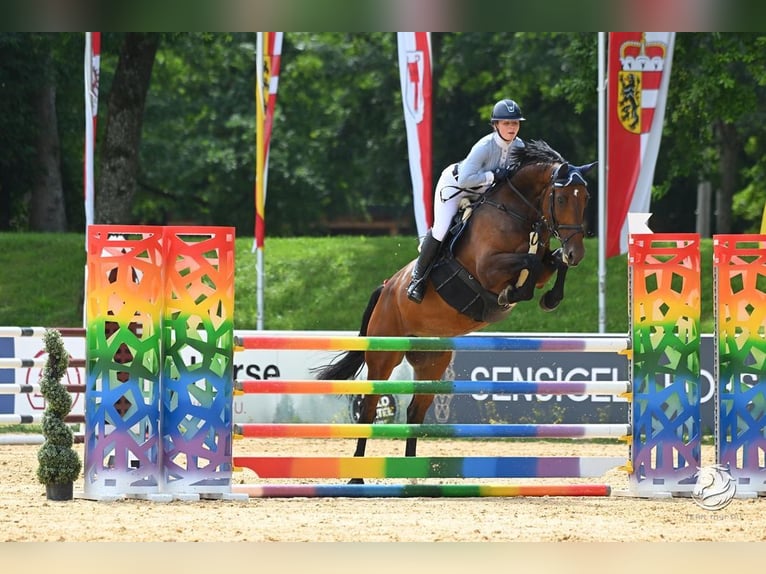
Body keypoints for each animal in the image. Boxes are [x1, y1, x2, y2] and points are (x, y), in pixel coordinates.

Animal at [316, 141, 596, 486]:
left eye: (586, 198)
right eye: (561, 198)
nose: (577, 253)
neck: (519, 212)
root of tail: (385, 288)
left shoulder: (543, 265)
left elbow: (551, 264)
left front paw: (551, 298)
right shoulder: (489, 268)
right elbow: (528, 266)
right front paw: (511, 295)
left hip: (432, 360)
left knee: (415, 411)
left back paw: (413, 476)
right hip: (384, 353)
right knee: (368, 407)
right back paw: (357, 477)